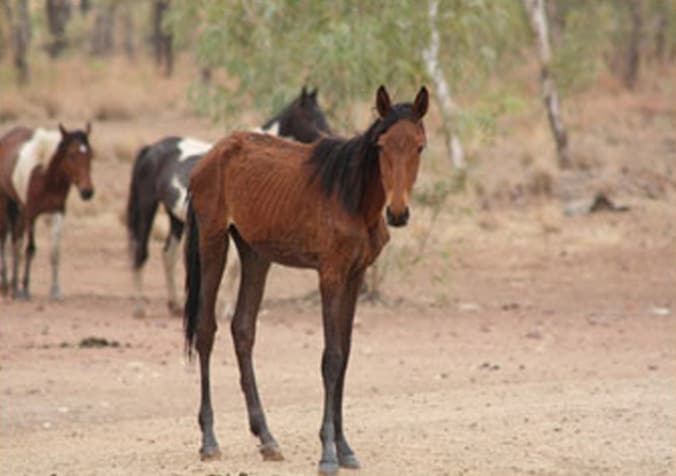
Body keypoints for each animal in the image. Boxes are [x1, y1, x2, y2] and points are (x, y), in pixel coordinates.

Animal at [0, 123, 94, 300]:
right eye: (71, 154)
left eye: (91, 154)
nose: (88, 192)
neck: (45, 176)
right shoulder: (30, 213)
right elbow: (29, 249)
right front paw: (24, 289)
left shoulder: (57, 213)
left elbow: (55, 251)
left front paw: (55, 290)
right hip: (8, 205)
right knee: (6, 239)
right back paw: (7, 285)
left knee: (15, 240)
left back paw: (12, 285)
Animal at [126, 86, 331, 317]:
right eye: (310, 116)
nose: (329, 136)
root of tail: (151, 148)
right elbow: (233, 266)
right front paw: (226, 310)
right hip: (147, 206)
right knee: (141, 251)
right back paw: (140, 307)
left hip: (175, 217)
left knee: (168, 254)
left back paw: (175, 306)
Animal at [184, 85, 428, 475]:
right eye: (381, 146)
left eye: (420, 146)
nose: (398, 212)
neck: (352, 197)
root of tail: (209, 157)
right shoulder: (330, 275)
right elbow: (331, 358)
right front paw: (328, 453)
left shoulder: (355, 276)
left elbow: (345, 356)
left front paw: (345, 449)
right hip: (213, 241)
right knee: (207, 330)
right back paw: (209, 441)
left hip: (254, 253)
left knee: (243, 329)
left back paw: (267, 439)